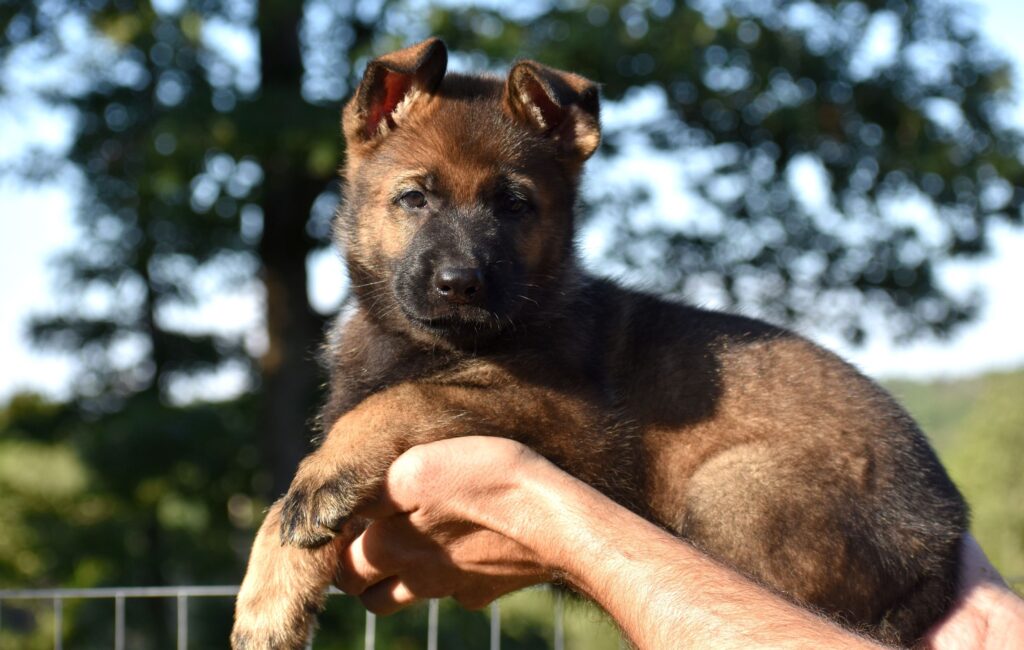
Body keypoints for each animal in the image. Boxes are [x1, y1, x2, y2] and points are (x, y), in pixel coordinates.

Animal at [232, 38, 966, 646]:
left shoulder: (569, 418)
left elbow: (395, 405)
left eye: (514, 205)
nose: (460, 283)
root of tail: (947, 535)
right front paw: (272, 598)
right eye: (414, 198)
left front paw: (313, 496)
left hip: (734, 491)